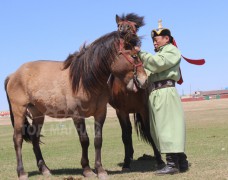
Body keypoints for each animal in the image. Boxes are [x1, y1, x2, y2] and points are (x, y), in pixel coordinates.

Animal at [5, 28, 149, 179]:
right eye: (134, 56)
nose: (144, 80)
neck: (84, 79)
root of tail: (13, 75)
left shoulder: (100, 113)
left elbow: (98, 140)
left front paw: (100, 169)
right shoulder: (77, 115)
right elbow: (84, 140)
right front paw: (87, 169)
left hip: (38, 114)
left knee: (35, 138)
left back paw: (44, 169)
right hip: (19, 112)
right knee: (17, 139)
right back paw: (21, 172)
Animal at [108, 13, 165, 169]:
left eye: (133, 26)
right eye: (119, 25)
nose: (122, 32)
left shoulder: (144, 108)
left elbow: (150, 132)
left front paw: (160, 160)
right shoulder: (121, 112)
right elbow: (125, 136)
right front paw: (126, 162)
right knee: (128, 132)